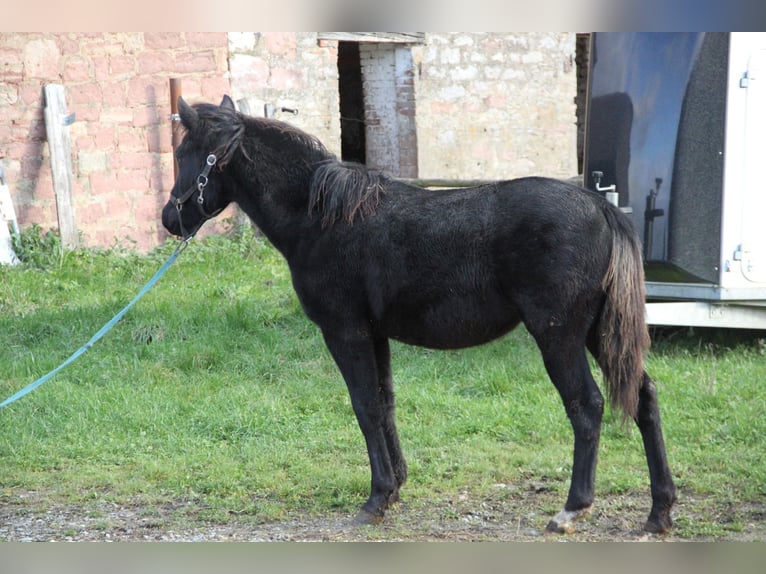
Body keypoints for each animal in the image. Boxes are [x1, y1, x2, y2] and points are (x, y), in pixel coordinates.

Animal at [162, 95, 680, 536]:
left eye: (186, 152)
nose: (170, 219)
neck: (323, 217)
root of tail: (599, 206)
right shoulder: (374, 334)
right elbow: (384, 403)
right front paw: (394, 490)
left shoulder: (345, 332)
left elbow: (365, 407)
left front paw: (375, 500)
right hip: (597, 332)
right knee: (644, 397)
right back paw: (659, 511)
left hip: (559, 335)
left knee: (587, 406)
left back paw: (571, 510)